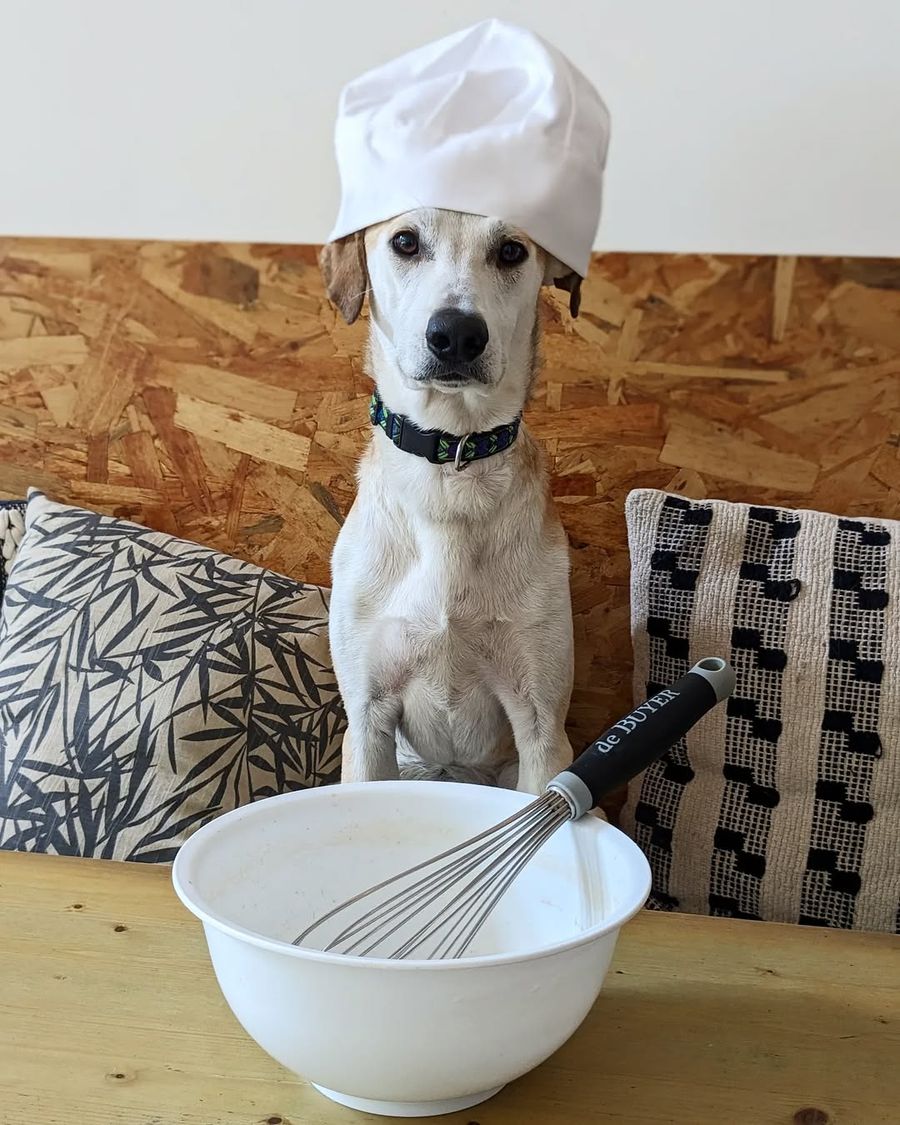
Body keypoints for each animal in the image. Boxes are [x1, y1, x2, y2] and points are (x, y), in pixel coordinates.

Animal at [320, 207, 583, 796]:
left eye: (511, 251)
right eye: (404, 241)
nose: (457, 334)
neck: (449, 463)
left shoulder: (541, 729)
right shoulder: (368, 722)